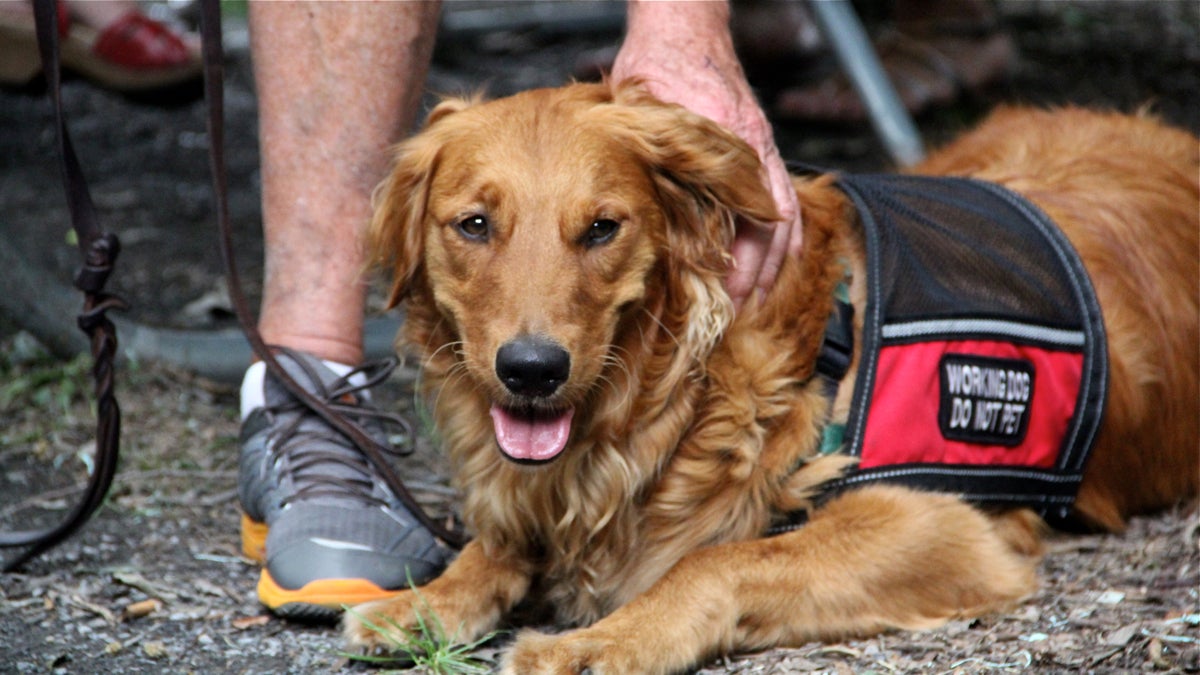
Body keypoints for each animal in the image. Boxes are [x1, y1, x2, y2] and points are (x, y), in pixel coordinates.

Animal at [343, 81, 1195, 667]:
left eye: (602, 228)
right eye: (474, 224)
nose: (531, 370)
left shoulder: (946, 523)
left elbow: (718, 560)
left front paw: (603, 640)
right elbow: (495, 543)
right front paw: (428, 598)